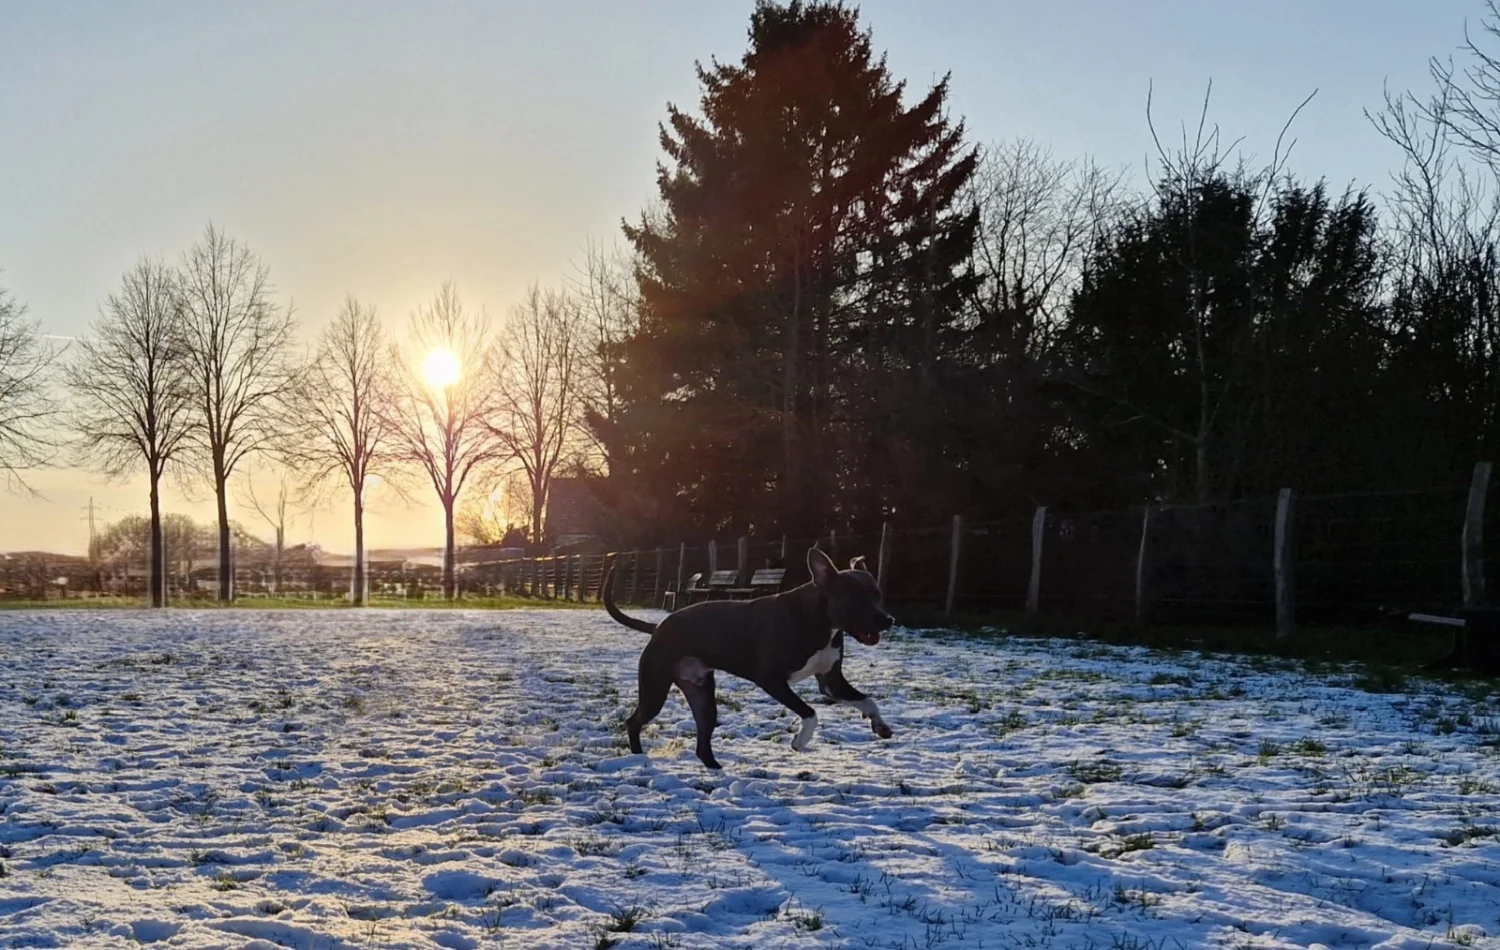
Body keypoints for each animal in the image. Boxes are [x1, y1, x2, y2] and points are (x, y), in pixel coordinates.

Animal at [603, 543, 894, 768]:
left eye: (878, 596)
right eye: (856, 599)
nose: (889, 620)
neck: (820, 621)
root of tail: (658, 628)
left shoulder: (831, 681)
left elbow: (868, 700)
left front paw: (879, 725)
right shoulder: (772, 679)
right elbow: (810, 713)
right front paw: (800, 741)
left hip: (701, 695)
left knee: (702, 742)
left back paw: (716, 768)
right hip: (655, 690)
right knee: (633, 722)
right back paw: (639, 756)